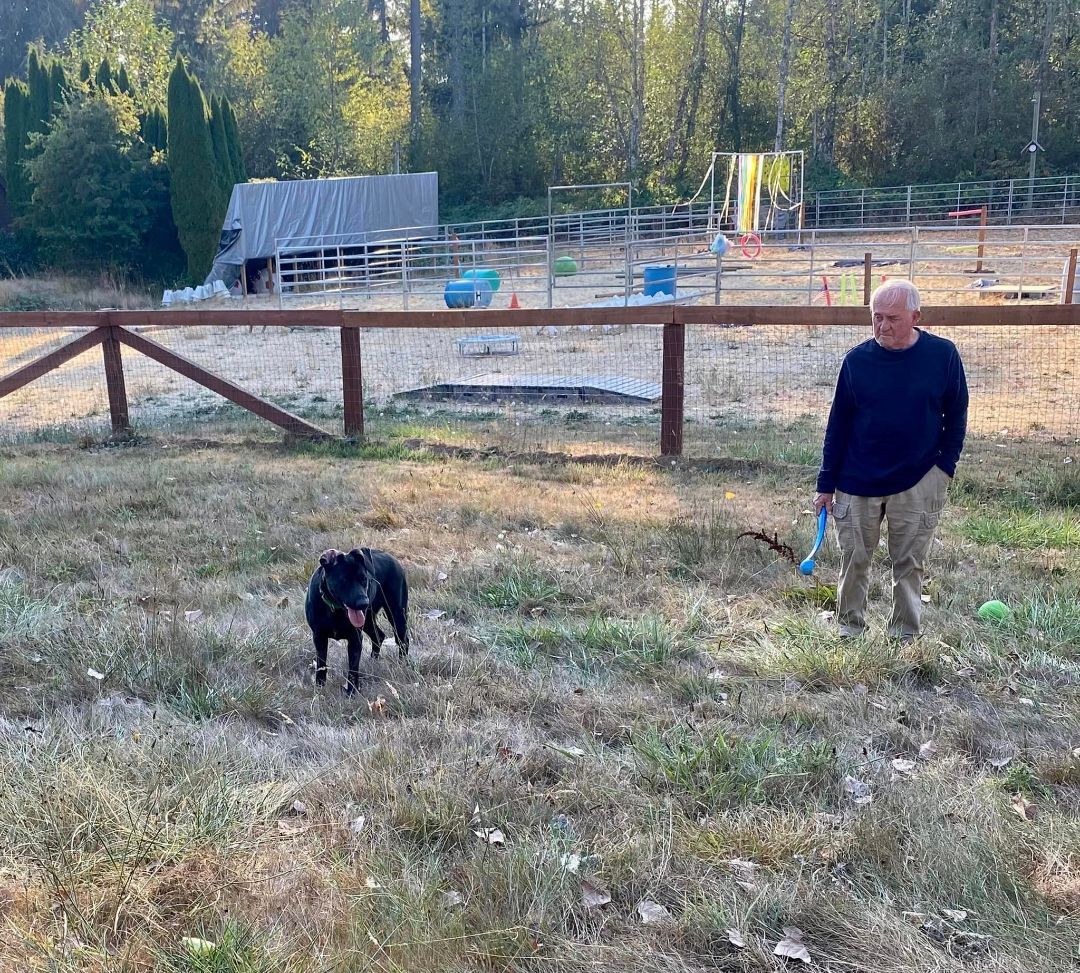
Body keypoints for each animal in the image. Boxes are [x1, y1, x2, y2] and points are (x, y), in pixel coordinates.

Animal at [306, 546, 410, 691]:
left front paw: (351, 691)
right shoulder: (319, 637)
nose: (363, 603)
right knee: (379, 636)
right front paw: (320, 687)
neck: (335, 610)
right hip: (368, 620)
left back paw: (402, 664)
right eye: (344, 580)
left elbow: (353, 668)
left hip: (396, 613)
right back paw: (373, 662)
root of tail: (391, 557)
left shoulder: (355, 638)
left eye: (364, 579)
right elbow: (321, 665)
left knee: (403, 640)